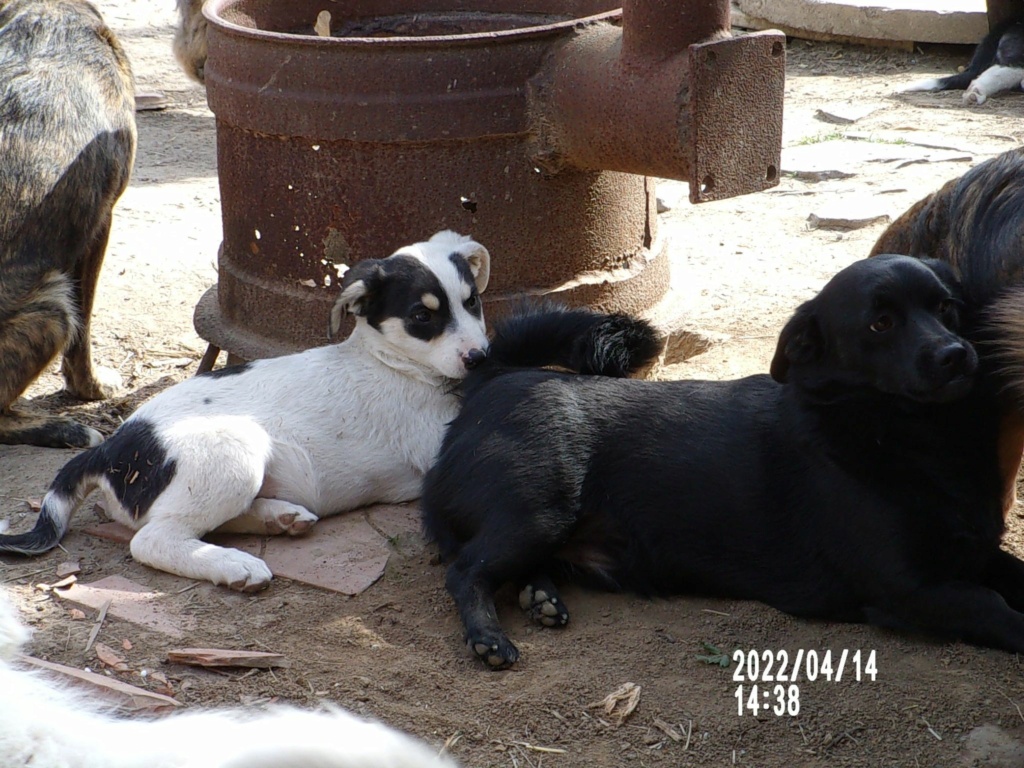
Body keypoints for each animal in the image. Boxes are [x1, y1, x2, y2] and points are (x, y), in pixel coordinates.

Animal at [0, 231, 491, 593]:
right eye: (421, 317)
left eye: (472, 302)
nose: (479, 357)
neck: (393, 362)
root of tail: (112, 447)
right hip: (233, 451)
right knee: (153, 540)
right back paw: (235, 565)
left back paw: (279, 518)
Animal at [421, 257, 1024, 667]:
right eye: (880, 324)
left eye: (945, 308)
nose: (955, 354)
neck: (907, 436)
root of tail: (494, 377)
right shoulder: (909, 587)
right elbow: (994, 607)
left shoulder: (970, 554)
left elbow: (1009, 573)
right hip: (539, 511)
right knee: (466, 570)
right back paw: (489, 636)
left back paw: (541, 596)